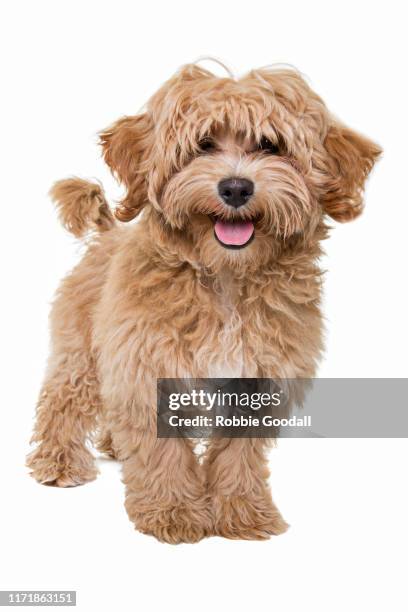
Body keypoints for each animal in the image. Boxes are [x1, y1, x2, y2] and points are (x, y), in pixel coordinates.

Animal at [27, 62, 380, 544]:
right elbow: (162, 451)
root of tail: (107, 236)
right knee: (63, 400)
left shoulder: (260, 377)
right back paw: (58, 462)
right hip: (80, 352)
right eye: (203, 144)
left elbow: (238, 453)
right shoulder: (146, 367)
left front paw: (243, 512)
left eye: (271, 145)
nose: (235, 187)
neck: (225, 279)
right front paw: (174, 512)